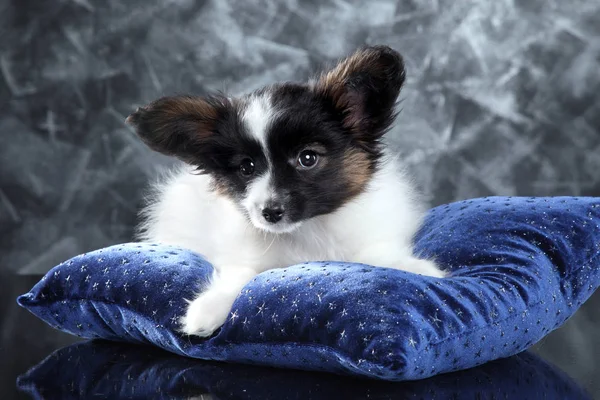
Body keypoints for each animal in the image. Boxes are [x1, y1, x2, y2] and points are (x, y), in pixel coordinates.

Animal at [126, 44, 446, 338]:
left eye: (308, 158)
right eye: (246, 167)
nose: (269, 212)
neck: (306, 231)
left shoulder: (370, 241)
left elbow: (379, 257)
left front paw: (419, 269)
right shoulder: (243, 255)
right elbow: (240, 276)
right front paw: (209, 308)